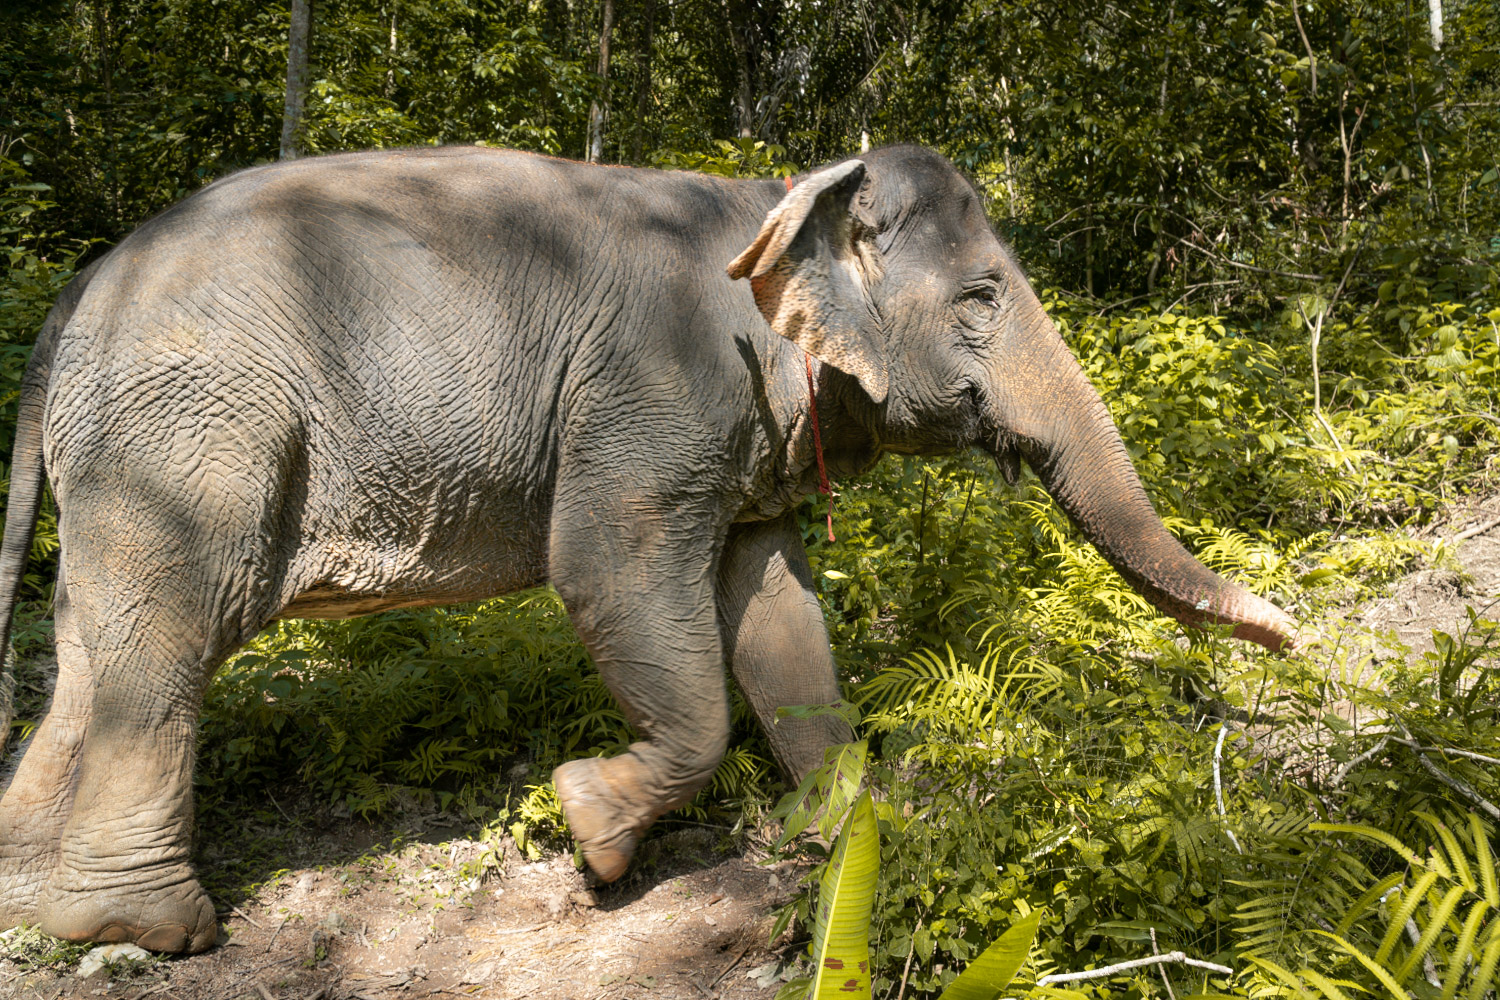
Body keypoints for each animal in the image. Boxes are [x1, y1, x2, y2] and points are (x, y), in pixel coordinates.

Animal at [0, 146, 1296, 953]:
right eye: (982, 296)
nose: (1287, 636)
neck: (774, 198)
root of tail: (78, 292)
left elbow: (774, 607)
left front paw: (846, 832)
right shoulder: (653, 390)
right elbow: (608, 569)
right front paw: (594, 826)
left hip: (121, 455)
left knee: (91, 651)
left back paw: (29, 896)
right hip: (192, 436)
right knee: (171, 641)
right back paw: (148, 929)